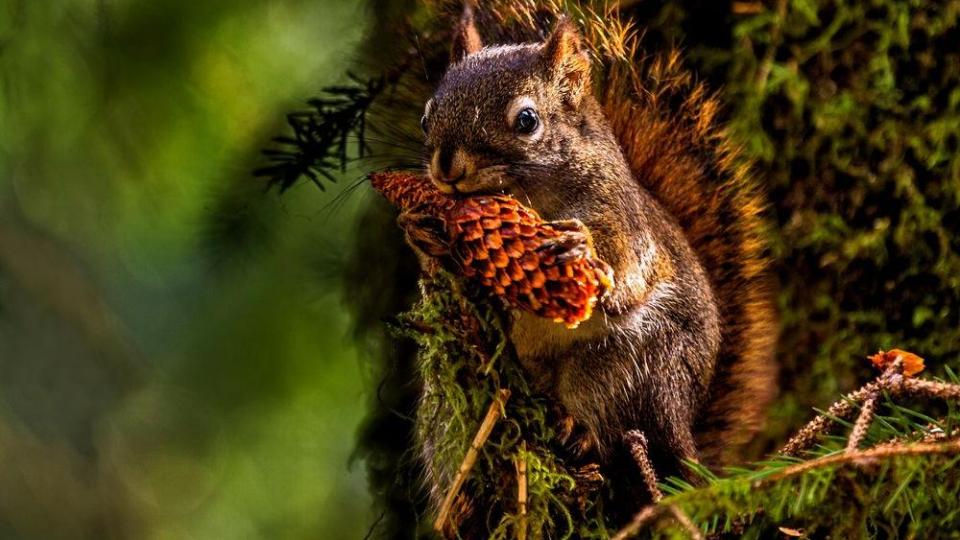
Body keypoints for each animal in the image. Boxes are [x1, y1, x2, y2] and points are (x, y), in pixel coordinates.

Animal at [402, 3, 776, 502]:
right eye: (427, 117)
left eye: (527, 121)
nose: (446, 167)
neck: (531, 198)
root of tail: (686, 428)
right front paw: (423, 232)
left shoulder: (624, 218)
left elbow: (624, 259)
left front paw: (580, 244)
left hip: (630, 366)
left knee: (612, 425)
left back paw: (580, 432)